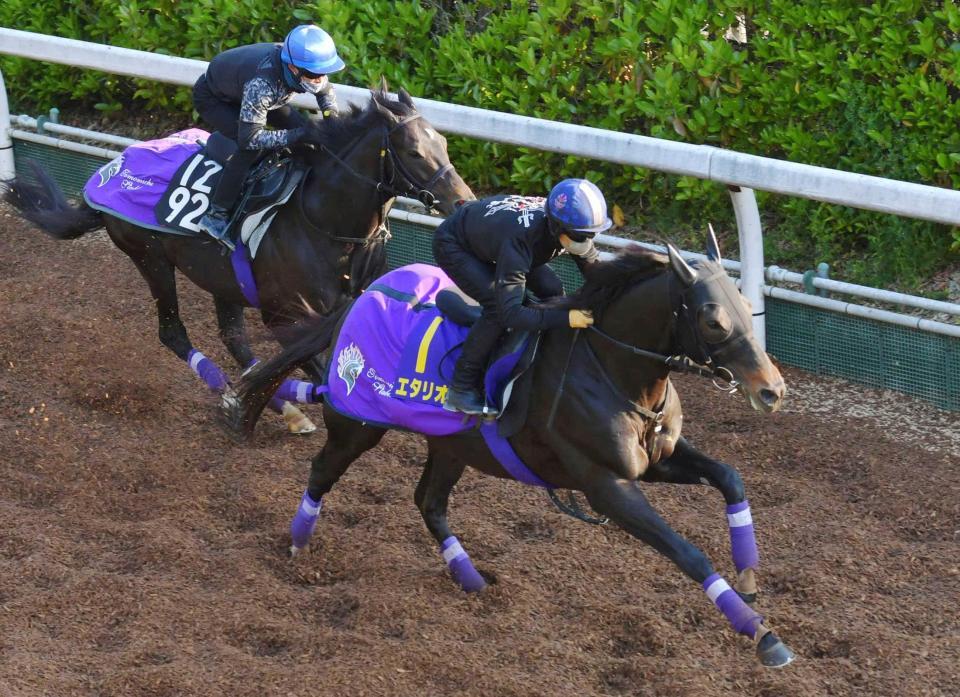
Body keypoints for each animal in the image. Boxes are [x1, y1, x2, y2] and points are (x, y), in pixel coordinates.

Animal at [1, 87, 474, 430]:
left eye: (444, 143)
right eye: (413, 151)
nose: (462, 201)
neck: (327, 224)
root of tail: (106, 173)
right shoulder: (284, 316)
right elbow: (316, 367)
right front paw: (253, 404)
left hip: (221, 277)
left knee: (233, 337)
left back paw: (274, 404)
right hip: (150, 258)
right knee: (173, 333)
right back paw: (233, 390)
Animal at [227, 231, 796, 668]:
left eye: (750, 309)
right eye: (713, 320)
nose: (771, 389)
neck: (612, 369)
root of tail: (363, 294)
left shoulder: (653, 460)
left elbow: (729, 477)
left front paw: (749, 576)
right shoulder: (604, 484)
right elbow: (687, 552)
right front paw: (761, 633)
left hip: (451, 444)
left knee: (429, 501)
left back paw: (472, 578)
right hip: (357, 423)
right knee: (322, 471)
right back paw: (299, 545)